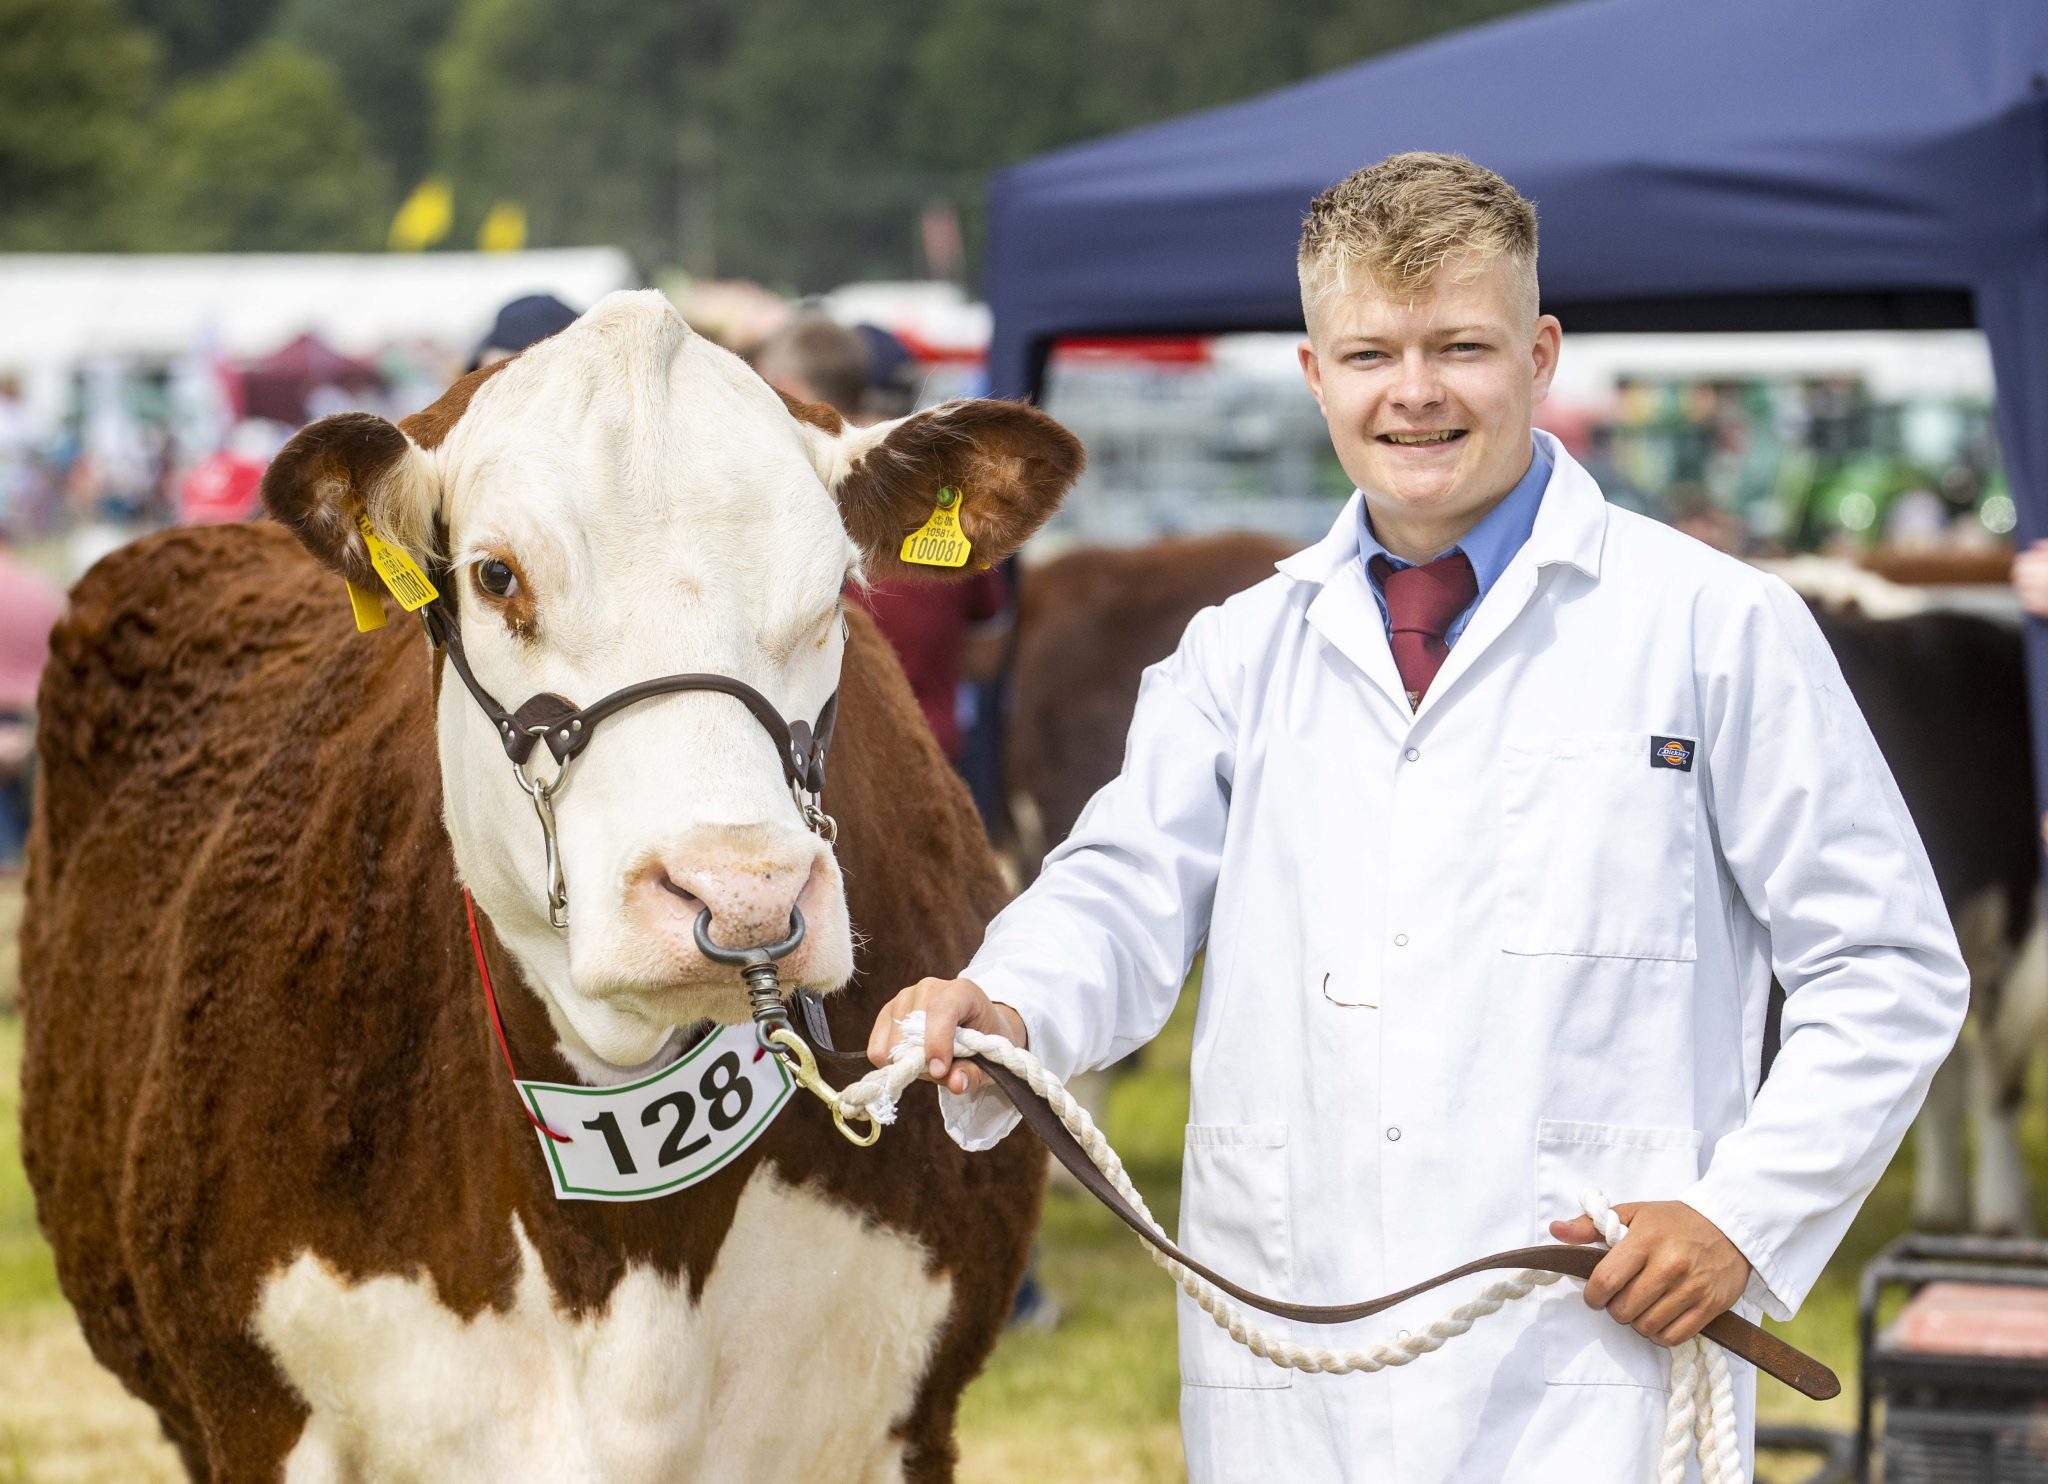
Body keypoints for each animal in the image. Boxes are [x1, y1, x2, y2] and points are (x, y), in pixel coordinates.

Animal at [24, 292, 1081, 1481]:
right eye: (496, 575)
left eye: (835, 590)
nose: (742, 891)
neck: (628, 1251)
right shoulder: (255, 1416)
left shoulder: (907, 1420)